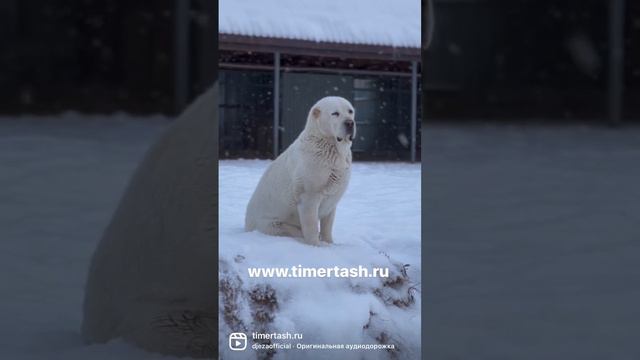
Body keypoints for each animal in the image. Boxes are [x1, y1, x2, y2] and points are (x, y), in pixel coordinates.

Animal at [245, 97, 356, 246]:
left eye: (350, 111)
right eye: (335, 113)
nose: (350, 123)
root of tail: (246, 225)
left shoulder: (333, 198)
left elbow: (327, 225)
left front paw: (330, 243)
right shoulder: (309, 196)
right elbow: (311, 224)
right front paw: (316, 245)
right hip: (274, 225)